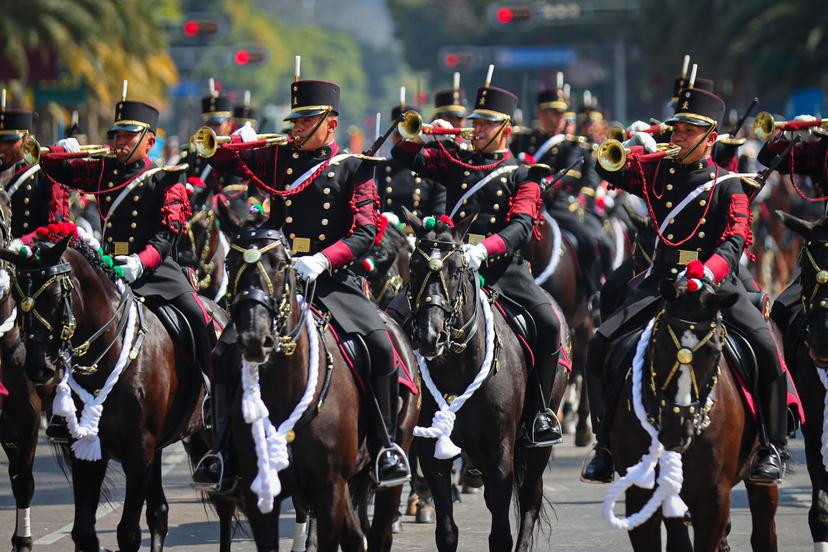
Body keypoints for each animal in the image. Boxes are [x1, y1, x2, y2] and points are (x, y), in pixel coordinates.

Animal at [1, 225, 215, 552]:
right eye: (18, 296)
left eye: (55, 294)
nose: (38, 368)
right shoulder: (87, 450)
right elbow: (84, 533)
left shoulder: (138, 453)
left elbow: (128, 533)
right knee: (159, 513)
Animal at [218, 196, 420, 548]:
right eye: (230, 263)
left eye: (281, 264)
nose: (254, 337)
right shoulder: (259, 494)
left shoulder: (330, 489)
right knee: (355, 537)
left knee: (378, 532)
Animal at [406, 212, 568, 552]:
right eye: (414, 266)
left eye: (457, 270)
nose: (429, 335)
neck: (458, 366)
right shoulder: (431, 452)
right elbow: (447, 531)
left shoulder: (500, 451)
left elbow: (501, 535)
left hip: (536, 446)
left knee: (530, 500)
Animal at [608, 282, 776, 548]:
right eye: (661, 344)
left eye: (714, 350)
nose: (677, 429)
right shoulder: (639, 495)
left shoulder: (714, 498)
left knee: (764, 532)